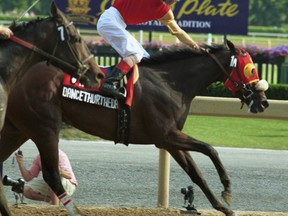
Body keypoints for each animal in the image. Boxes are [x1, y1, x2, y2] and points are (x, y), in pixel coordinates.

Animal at [1, 41, 268, 215]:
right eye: (251, 68)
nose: (263, 101)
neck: (171, 83)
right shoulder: (166, 135)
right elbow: (210, 148)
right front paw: (227, 189)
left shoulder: (169, 140)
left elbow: (196, 173)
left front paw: (223, 207)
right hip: (44, 127)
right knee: (52, 176)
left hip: (18, 127)